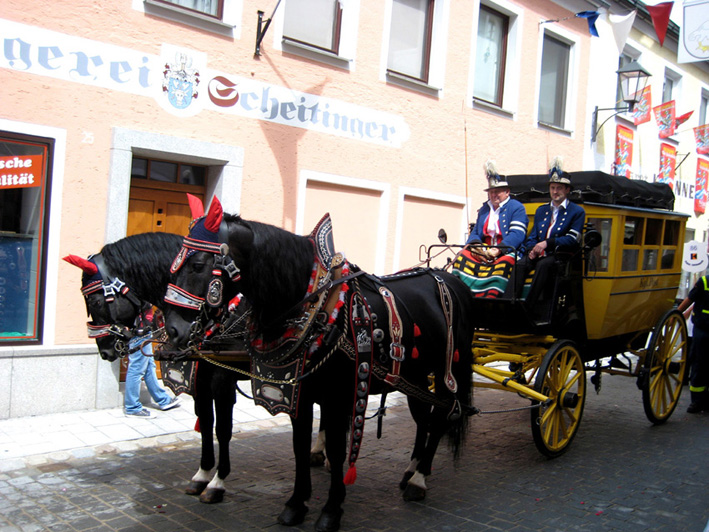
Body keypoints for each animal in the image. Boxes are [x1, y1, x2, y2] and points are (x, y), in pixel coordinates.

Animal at [63, 233, 250, 502]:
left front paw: (218, 481)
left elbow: (223, 429)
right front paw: (203, 474)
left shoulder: (222, 380)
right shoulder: (201, 380)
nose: (104, 350)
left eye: (96, 301)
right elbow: (205, 424)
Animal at [164, 196, 476, 532]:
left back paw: (419, 478)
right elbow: (298, 445)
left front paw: (331, 509)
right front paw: (296, 503)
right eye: (173, 264)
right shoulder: (296, 393)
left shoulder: (336, 397)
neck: (313, 307)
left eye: (197, 265)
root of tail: (448, 279)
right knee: (423, 418)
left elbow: (337, 452)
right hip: (414, 374)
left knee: (443, 414)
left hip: (446, 371)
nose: (173, 330)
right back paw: (412, 469)